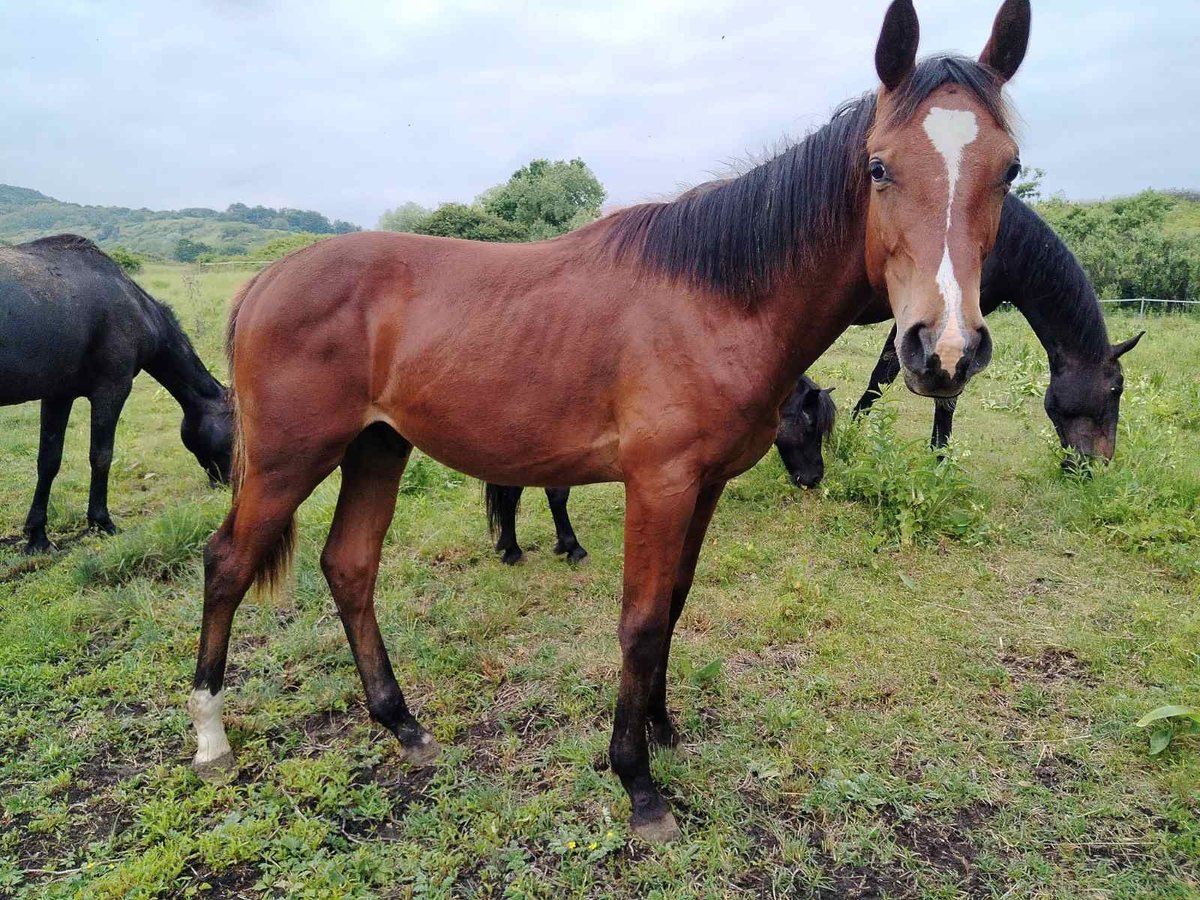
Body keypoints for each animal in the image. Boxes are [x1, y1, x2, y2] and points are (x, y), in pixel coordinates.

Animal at [0, 236, 231, 554]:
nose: (229, 483)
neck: (138, 308)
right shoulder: (112, 389)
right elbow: (101, 456)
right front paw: (101, 521)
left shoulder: (58, 395)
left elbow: (48, 461)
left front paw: (37, 537)